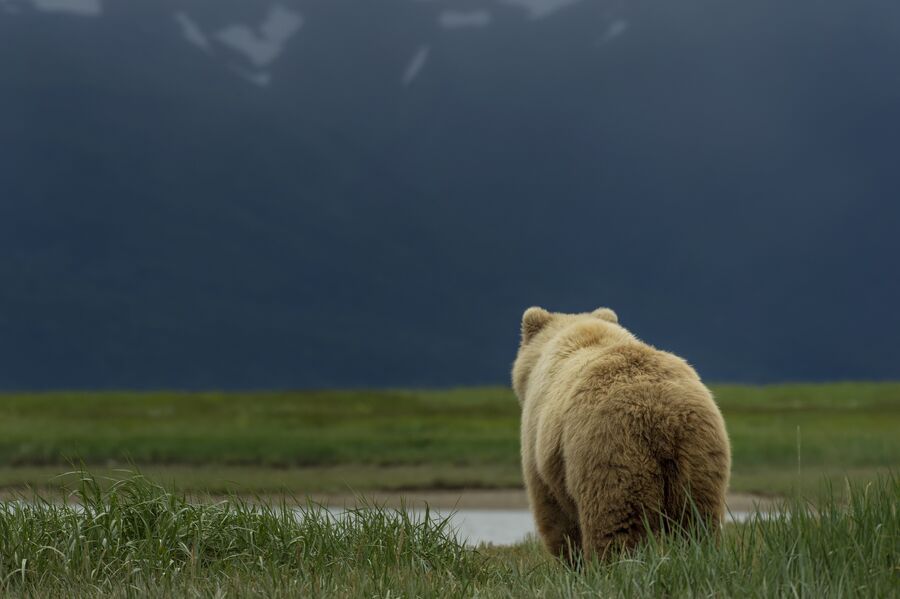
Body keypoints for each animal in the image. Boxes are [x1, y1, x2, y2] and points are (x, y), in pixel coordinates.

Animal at [512, 308, 732, 564]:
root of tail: (662, 415)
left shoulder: (539, 445)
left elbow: (555, 515)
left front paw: (571, 561)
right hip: (699, 457)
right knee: (697, 521)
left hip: (611, 452)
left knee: (616, 524)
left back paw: (615, 565)